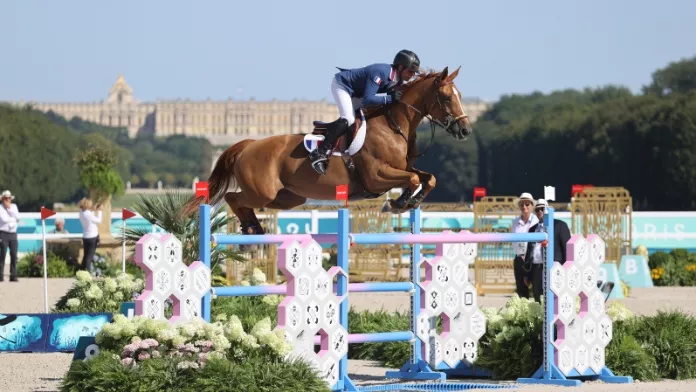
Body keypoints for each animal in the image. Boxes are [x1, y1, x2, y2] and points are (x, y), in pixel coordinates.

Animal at [182, 66, 470, 234]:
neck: (393, 126)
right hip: (262, 192)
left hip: (287, 198)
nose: (465, 130)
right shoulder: (376, 176)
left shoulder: (401, 168)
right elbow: (412, 180)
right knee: (233, 198)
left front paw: (410, 201)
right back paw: (251, 227)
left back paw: (253, 227)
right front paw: (397, 204)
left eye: (460, 96)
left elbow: (428, 178)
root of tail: (250, 144)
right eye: (446, 97)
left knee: (241, 201)